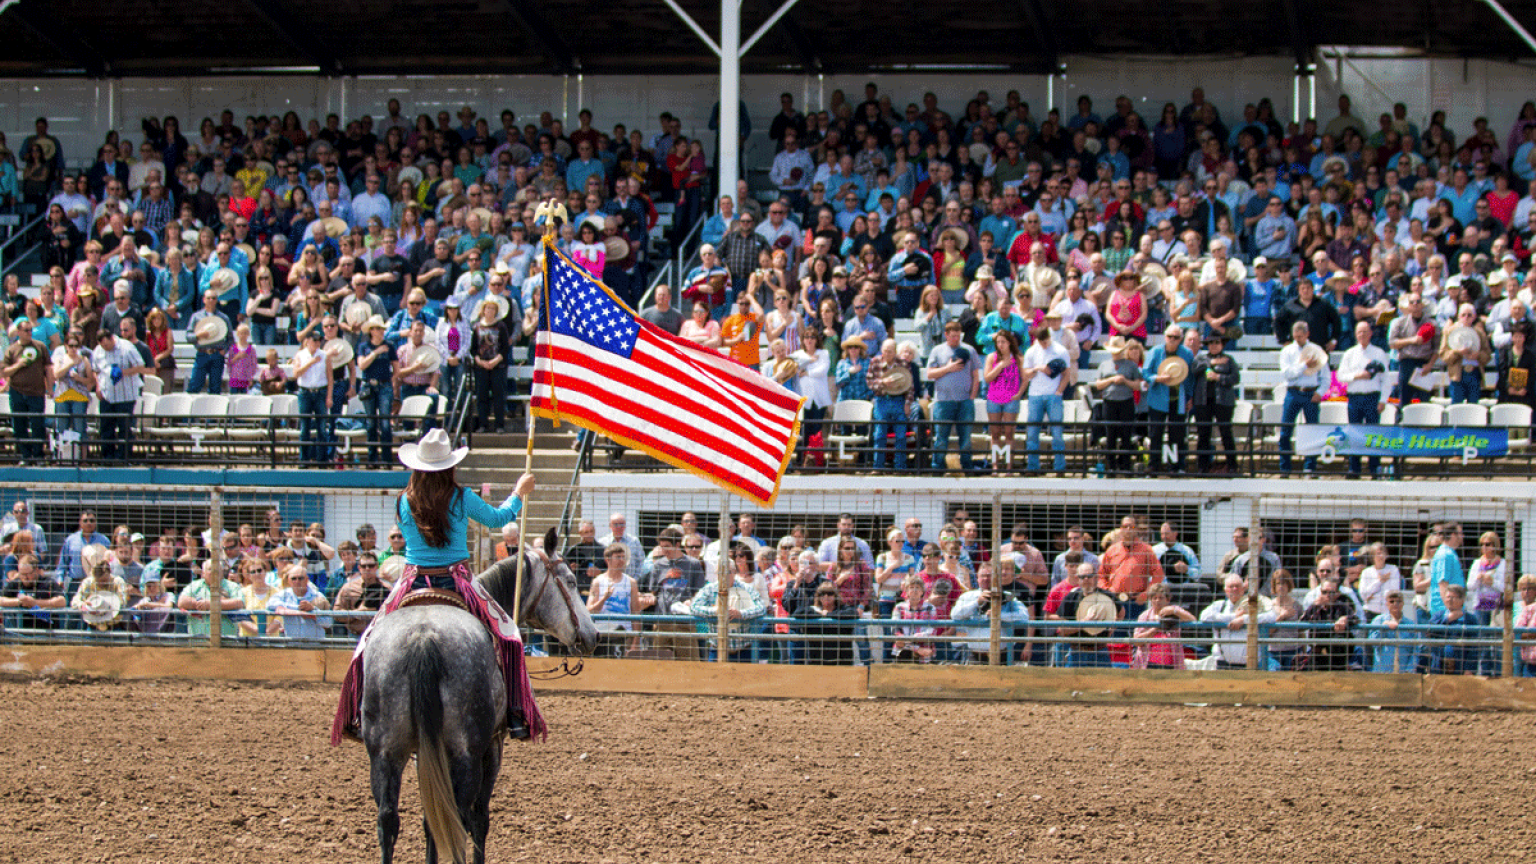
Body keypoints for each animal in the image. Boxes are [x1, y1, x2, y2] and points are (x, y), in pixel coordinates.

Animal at [362, 544, 595, 860]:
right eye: (570, 581)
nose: (593, 634)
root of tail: (424, 637)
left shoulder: (425, 751)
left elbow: (430, 820)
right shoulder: (493, 747)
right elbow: (479, 819)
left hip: (385, 752)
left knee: (388, 820)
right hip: (466, 753)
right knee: (460, 818)